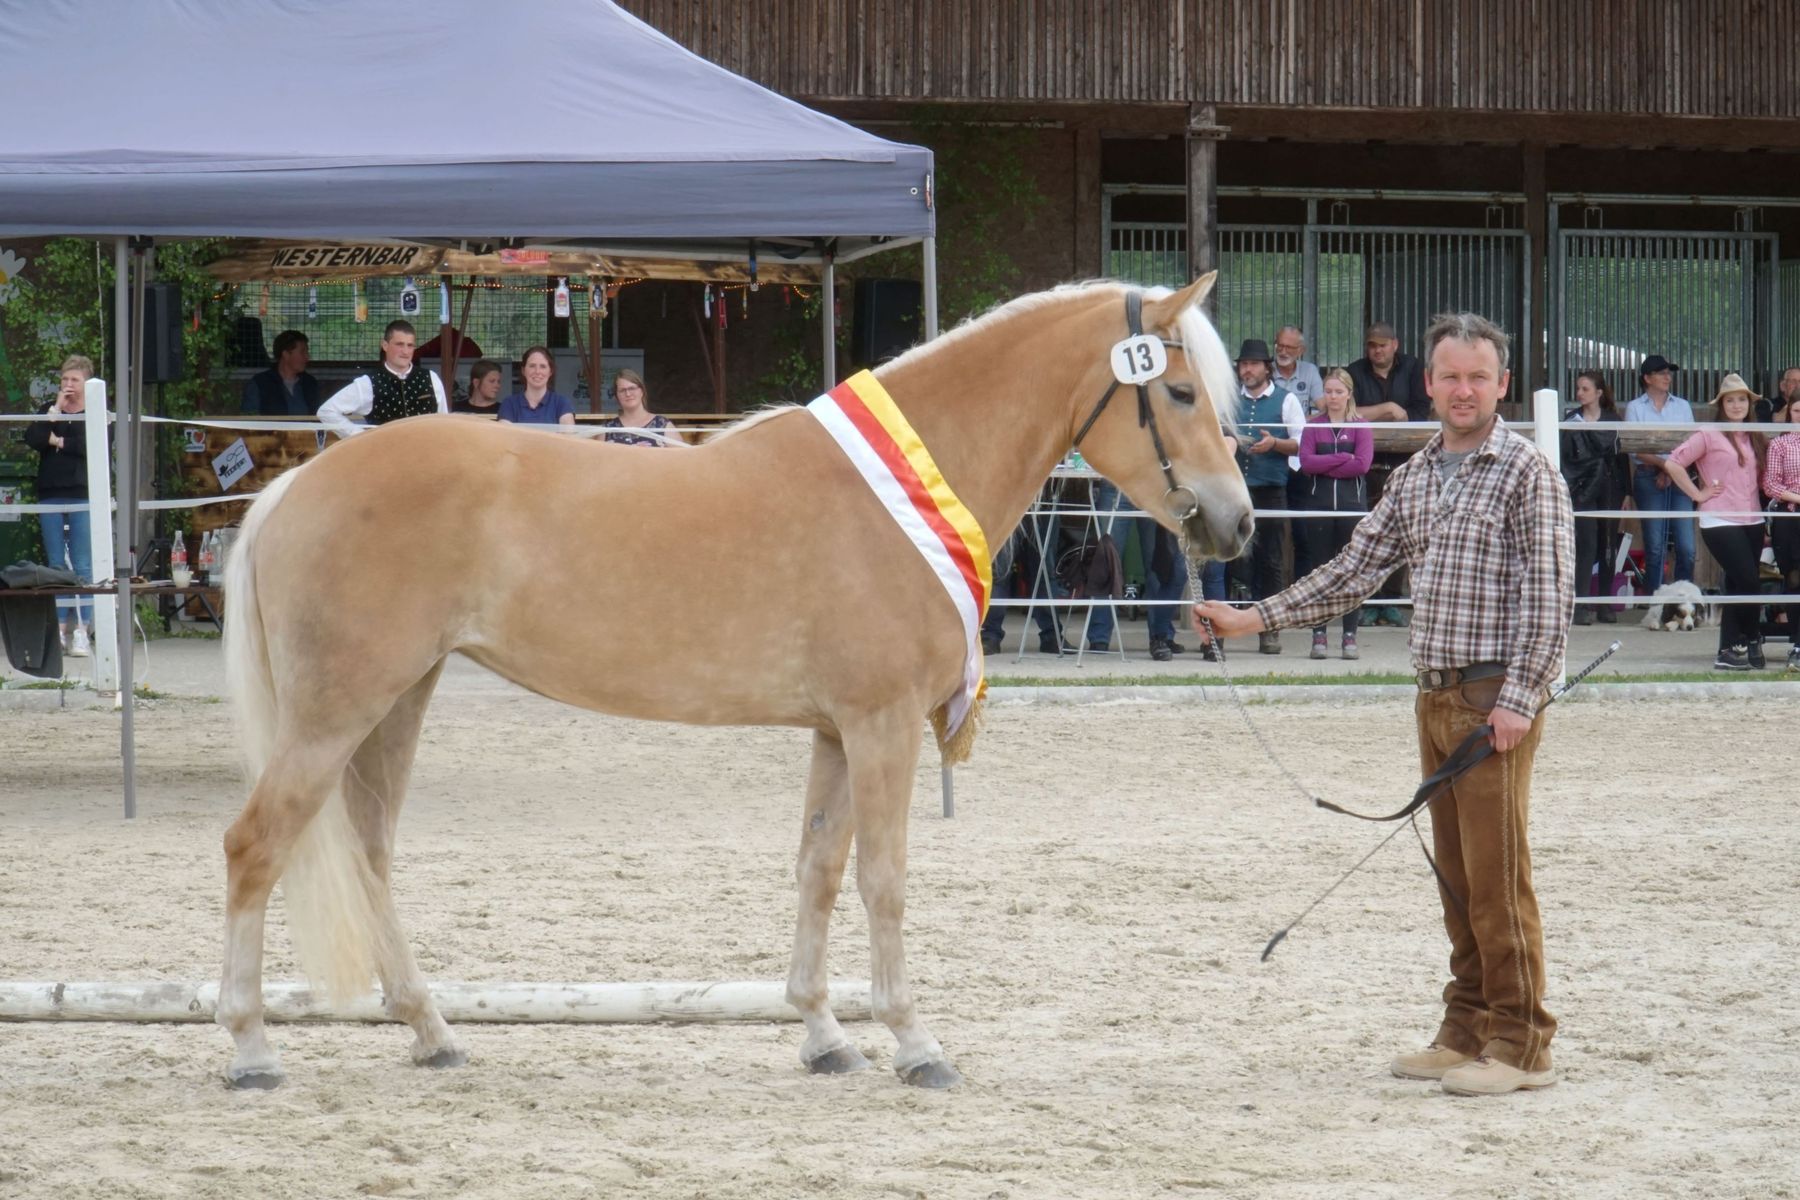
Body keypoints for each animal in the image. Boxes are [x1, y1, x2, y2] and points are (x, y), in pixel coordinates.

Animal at [217, 277, 1252, 1093]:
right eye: (1181, 390)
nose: (1237, 523)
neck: (898, 491)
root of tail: (291, 489)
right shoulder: (882, 726)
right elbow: (883, 879)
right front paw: (914, 1042)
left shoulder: (838, 730)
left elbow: (819, 868)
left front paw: (825, 1035)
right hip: (338, 711)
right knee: (256, 845)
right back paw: (251, 1049)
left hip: (399, 701)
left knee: (368, 851)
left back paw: (431, 1032)